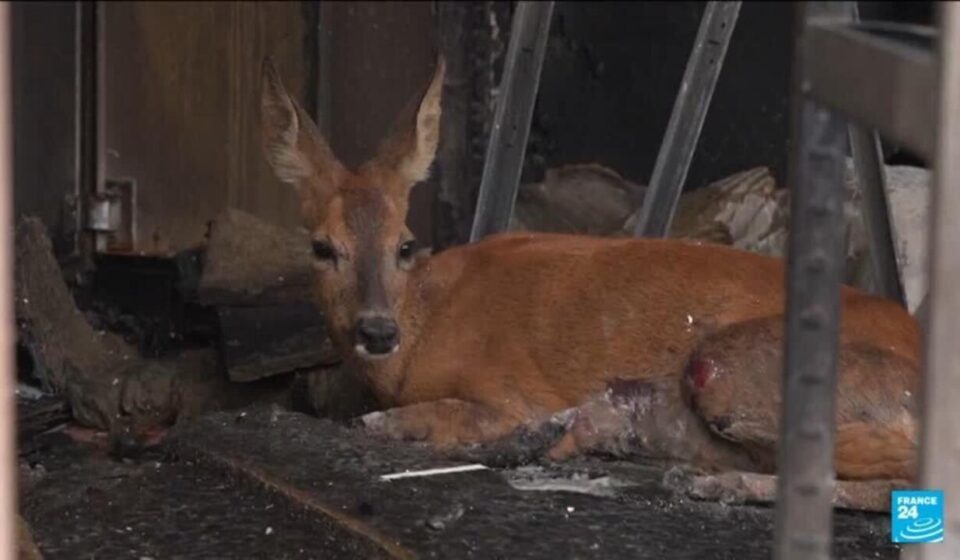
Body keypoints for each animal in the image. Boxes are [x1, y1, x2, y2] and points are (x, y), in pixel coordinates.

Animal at [260, 57, 920, 509]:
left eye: (404, 244)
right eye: (322, 248)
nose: (377, 331)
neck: (422, 330)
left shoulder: (508, 389)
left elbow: (419, 418)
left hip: (732, 366)